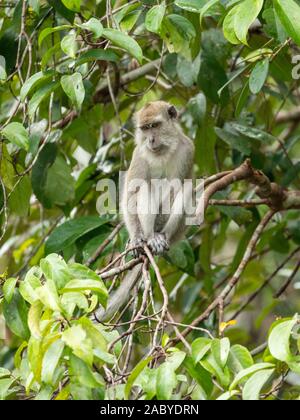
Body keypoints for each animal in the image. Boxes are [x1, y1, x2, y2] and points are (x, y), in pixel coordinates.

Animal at [96, 101, 195, 322]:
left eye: (155, 126)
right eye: (145, 128)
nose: (150, 140)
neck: (164, 150)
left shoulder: (187, 149)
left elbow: (178, 186)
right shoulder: (139, 153)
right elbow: (133, 193)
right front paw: (136, 239)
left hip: (178, 232)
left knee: (186, 190)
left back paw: (160, 236)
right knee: (146, 187)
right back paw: (147, 239)